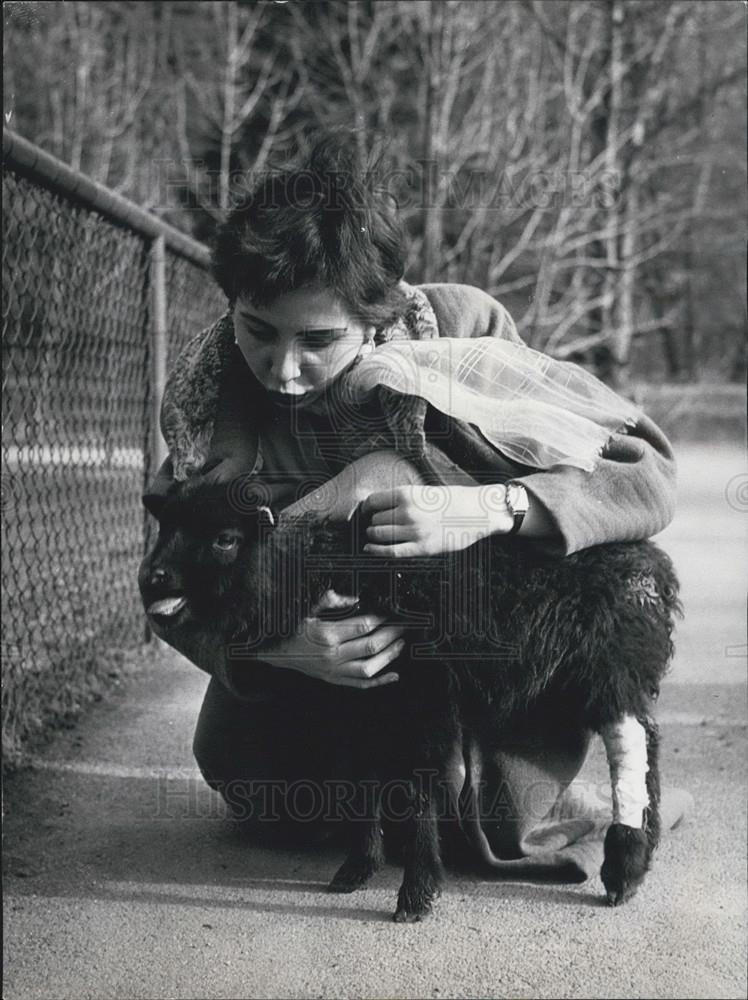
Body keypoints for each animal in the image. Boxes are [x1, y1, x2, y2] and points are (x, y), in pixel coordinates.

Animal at [140, 476, 684, 920]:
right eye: (165, 527)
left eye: (225, 539)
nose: (153, 580)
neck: (319, 568)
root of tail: (652, 564)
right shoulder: (357, 696)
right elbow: (358, 782)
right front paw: (357, 869)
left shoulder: (424, 700)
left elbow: (419, 789)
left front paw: (417, 893)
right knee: (647, 737)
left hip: (611, 662)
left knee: (634, 742)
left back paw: (624, 865)